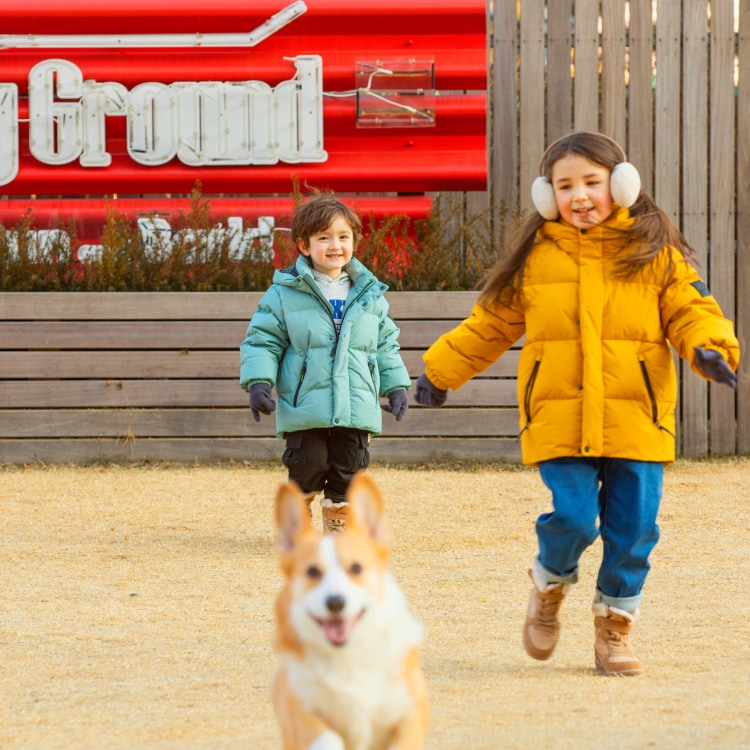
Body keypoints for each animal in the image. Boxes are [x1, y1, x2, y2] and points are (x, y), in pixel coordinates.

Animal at [274, 472, 432, 748]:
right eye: (312, 572)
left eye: (357, 568)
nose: (336, 602)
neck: (350, 655)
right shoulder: (300, 707)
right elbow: (327, 737)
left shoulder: (410, 710)